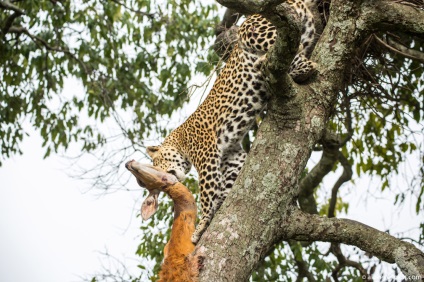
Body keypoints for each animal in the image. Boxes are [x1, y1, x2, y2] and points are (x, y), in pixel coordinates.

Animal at [144, 0, 316, 243]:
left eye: (157, 163)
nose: (164, 180)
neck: (180, 141)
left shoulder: (207, 157)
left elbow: (207, 194)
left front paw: (200, 227)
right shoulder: (232, 155)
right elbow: (225, 186)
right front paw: (217, 209)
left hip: (253, 29)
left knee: (296, 52)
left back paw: (268, 63)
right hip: (306, 31)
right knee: (302, 53)